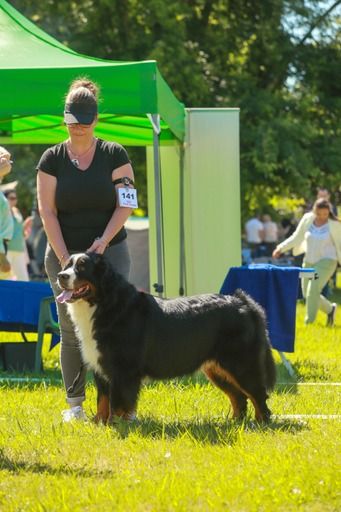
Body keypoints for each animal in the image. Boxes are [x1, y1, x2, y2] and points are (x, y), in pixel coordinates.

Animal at [55, 252, 274, 424]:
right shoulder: (101, 368)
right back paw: (234, 422)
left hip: (241, 364)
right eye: (67, 265)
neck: (105, 305)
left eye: (82, 266)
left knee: (258, 395)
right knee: (239, 398)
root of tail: (243, 302)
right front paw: (99, 424)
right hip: (217, 369)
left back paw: (260, 424)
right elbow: (102, 400)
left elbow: (117, 403)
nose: (61, 276)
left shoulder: (122, 371)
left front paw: (115, 425)